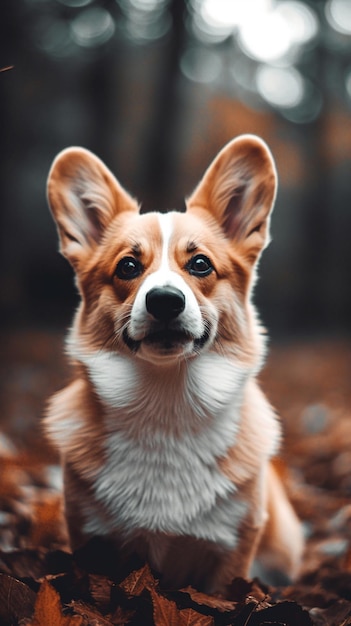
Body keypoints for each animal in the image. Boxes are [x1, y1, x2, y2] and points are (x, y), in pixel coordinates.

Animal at [44, 134, 304, 592]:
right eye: (128, 266)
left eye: (200, 264)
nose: (165, 300)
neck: (165, 400)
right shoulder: (89, 536)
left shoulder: (232, 551)